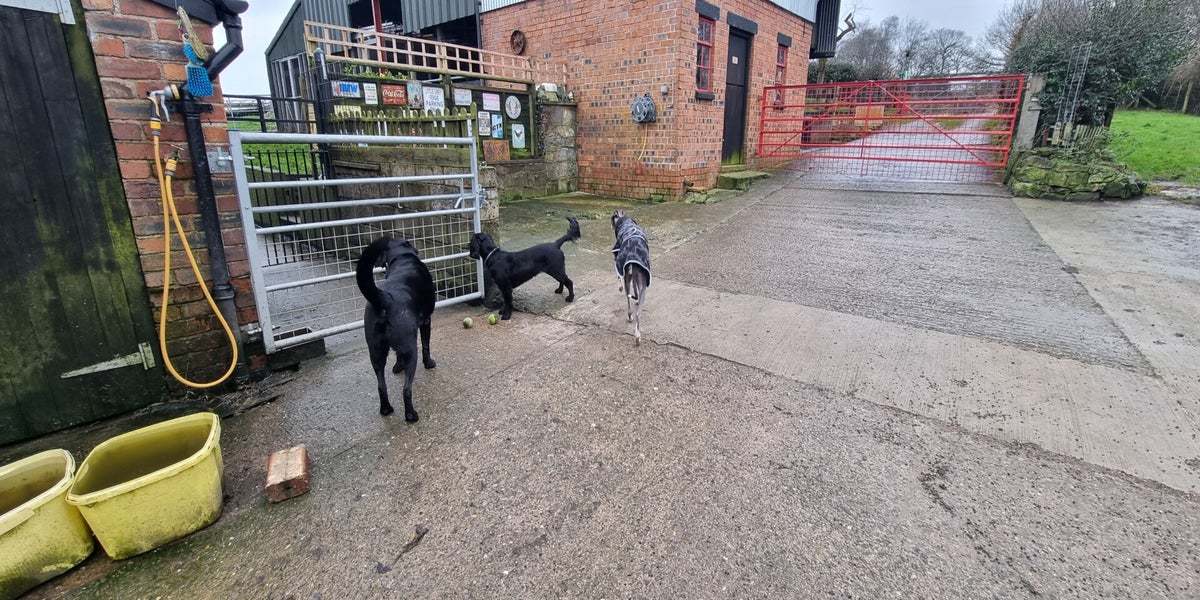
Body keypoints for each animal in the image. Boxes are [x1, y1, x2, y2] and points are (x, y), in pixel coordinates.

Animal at [356, 237, 437, 420]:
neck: (402, 257)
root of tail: (386, 299)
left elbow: (397, 356)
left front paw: (397, 367)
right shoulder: (426, 320)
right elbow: (426, 345)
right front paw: (429, 363)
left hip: (375, 352)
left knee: (381, 386)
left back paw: (386, 409)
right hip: (410, 349)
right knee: (406, 390)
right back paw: (411, 415)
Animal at [611, 210, 651, 345]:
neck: (626, 223)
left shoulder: (616, 256)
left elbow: (617, 275)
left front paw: (619, 287)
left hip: (628, 276)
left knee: (630, 305)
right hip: (642, 283)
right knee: (638, 312)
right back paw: (637, 336)